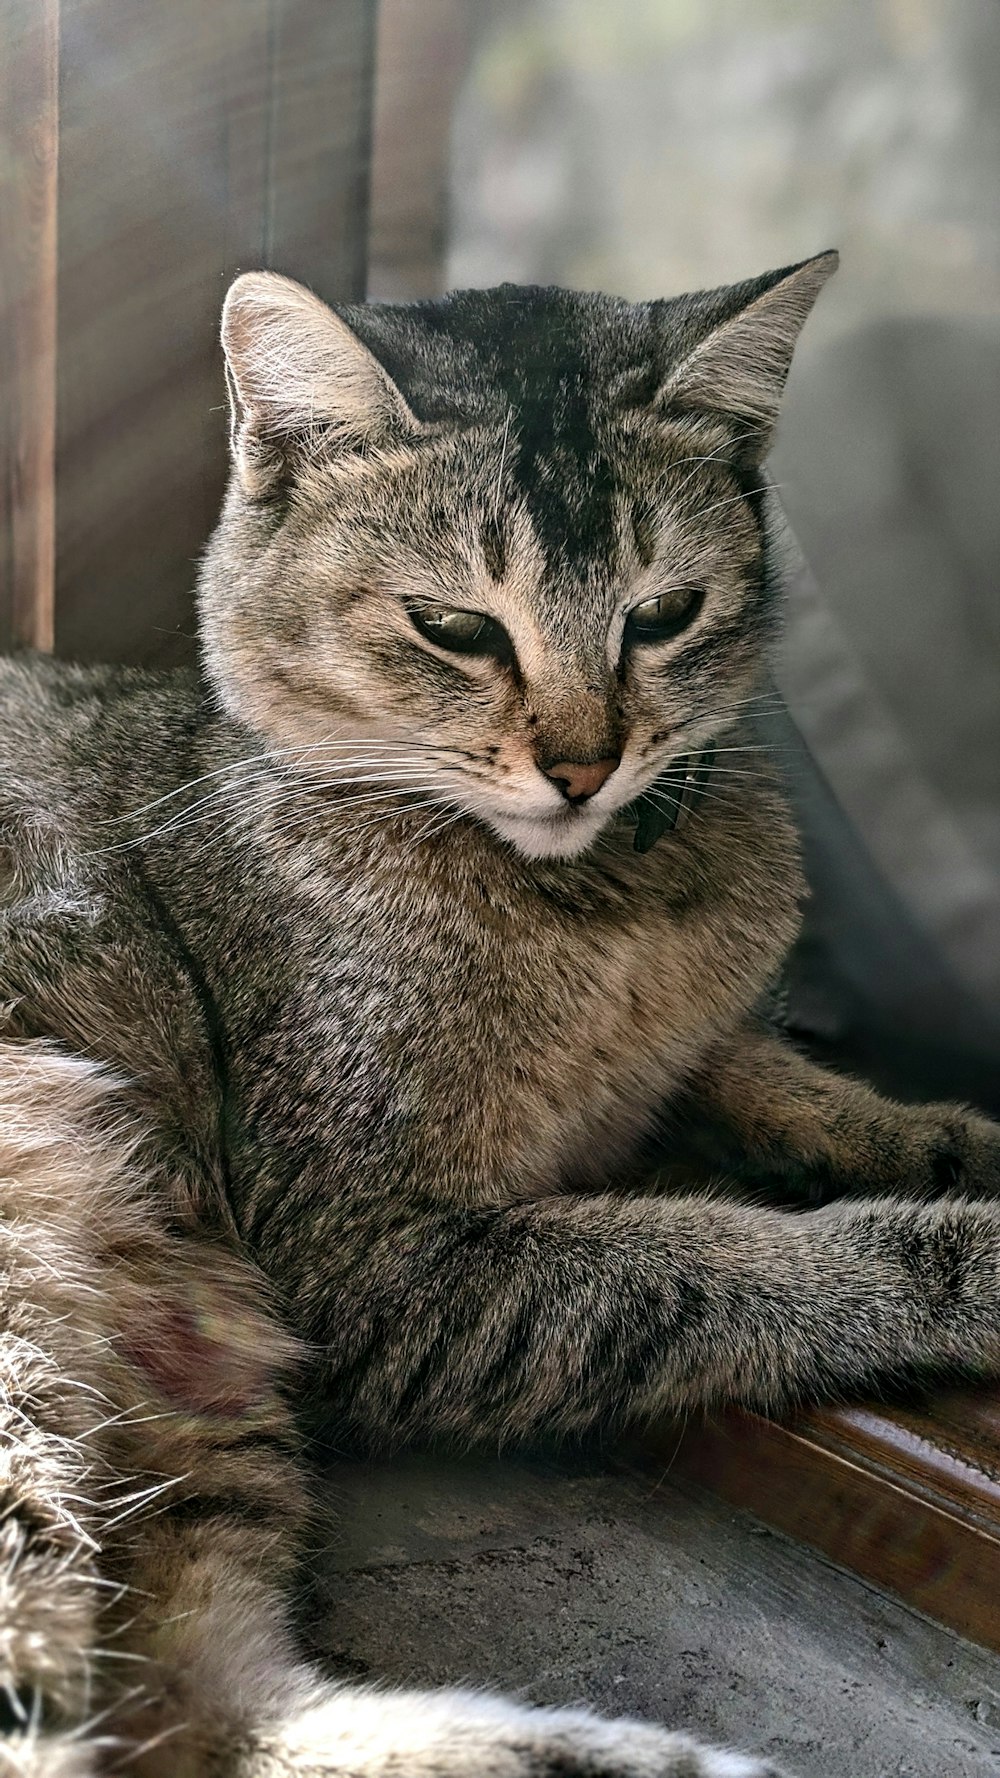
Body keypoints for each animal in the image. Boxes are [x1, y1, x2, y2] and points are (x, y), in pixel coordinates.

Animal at [1, 250, 996, 1778]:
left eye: (664, 614)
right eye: (457, 628)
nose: (585, 765)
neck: (616, 904)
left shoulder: (681, 1047)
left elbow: (763, 1067)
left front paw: (939, 1131)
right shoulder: (369, 1257)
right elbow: (715, 1258)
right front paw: (965, 1252)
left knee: (221, 1712)